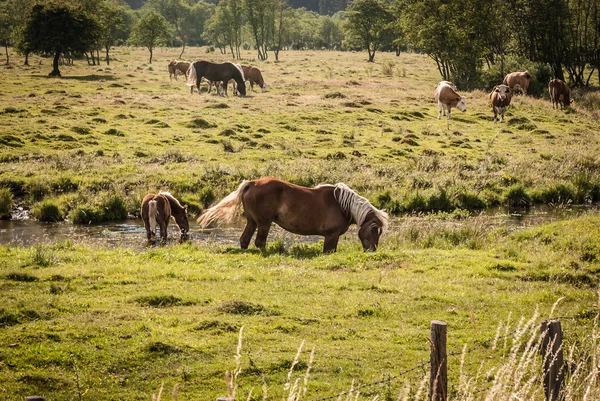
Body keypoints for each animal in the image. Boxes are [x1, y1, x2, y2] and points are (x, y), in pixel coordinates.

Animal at [197, 177, 390, 252]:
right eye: (374, 229)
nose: (373, 250)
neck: (342, 205)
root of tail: (252, 183)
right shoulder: (331, 236)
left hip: (252, 221)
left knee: (245, 240)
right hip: (264, 223)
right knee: (260, 242)